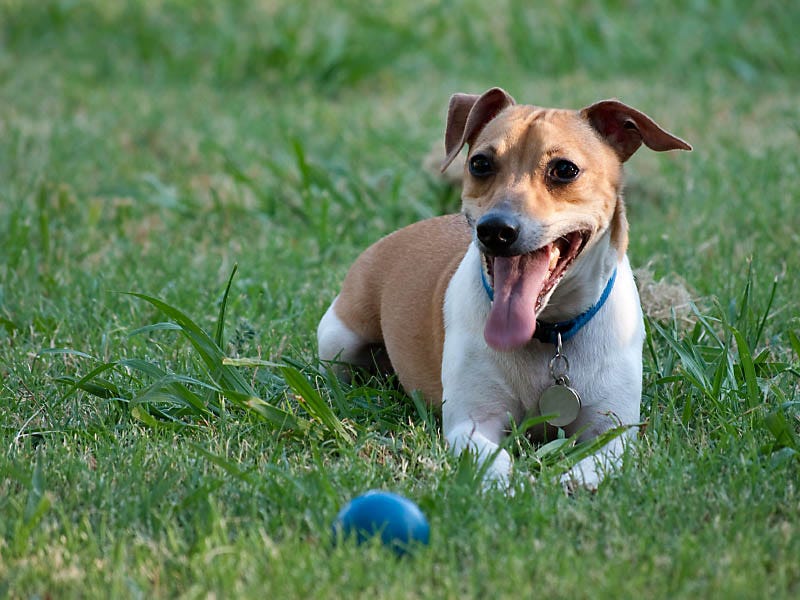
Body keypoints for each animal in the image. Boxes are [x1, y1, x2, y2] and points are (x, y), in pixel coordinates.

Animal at [316, 86, 692, 490]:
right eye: (480, 163)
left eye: (565, 169)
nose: (495, 230)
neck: (549, 333)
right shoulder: (472, 422)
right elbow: (493, 462)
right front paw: (514, 486)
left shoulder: (614, 430)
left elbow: (601, 459)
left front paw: (573, 481)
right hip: (339, 338)